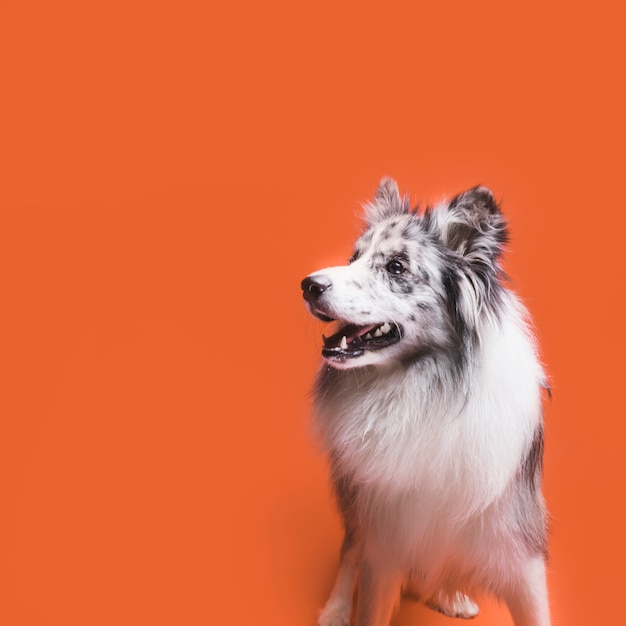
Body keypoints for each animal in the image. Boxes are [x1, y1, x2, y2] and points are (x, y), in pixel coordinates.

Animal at [300, 178, 548, 624]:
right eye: (354, 258)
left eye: (396, 266)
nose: (308, 285)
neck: (427, 387)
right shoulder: (383, 535)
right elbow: (369, 594)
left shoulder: (517, 539)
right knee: (349, 550)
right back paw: (336, 609)